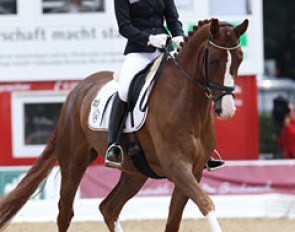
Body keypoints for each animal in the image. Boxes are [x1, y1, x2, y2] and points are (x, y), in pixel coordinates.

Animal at [0, 18, 250, 232]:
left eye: (239, 58)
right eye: (213, 60)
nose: (227, 109)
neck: (187, 103)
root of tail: (77, 91)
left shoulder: (194, 171)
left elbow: (174, 221)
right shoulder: (176, 165)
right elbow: (206, 203)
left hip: (134, 172)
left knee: (108, 207)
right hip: (74, 162)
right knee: (65, 212)